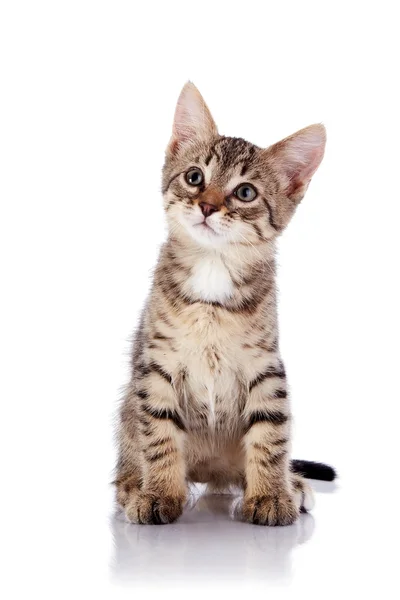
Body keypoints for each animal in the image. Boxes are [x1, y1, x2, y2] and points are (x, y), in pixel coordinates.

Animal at [115, 81, 334, 524]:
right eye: (194, 177)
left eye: (245, 192)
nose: (207, 205)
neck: (213, 267)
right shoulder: (155, 365)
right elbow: (159, 434)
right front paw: (159, 493)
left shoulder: (266, 366)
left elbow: (271, 433)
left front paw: (270, 495)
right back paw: (133, 485)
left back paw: (291, 484)